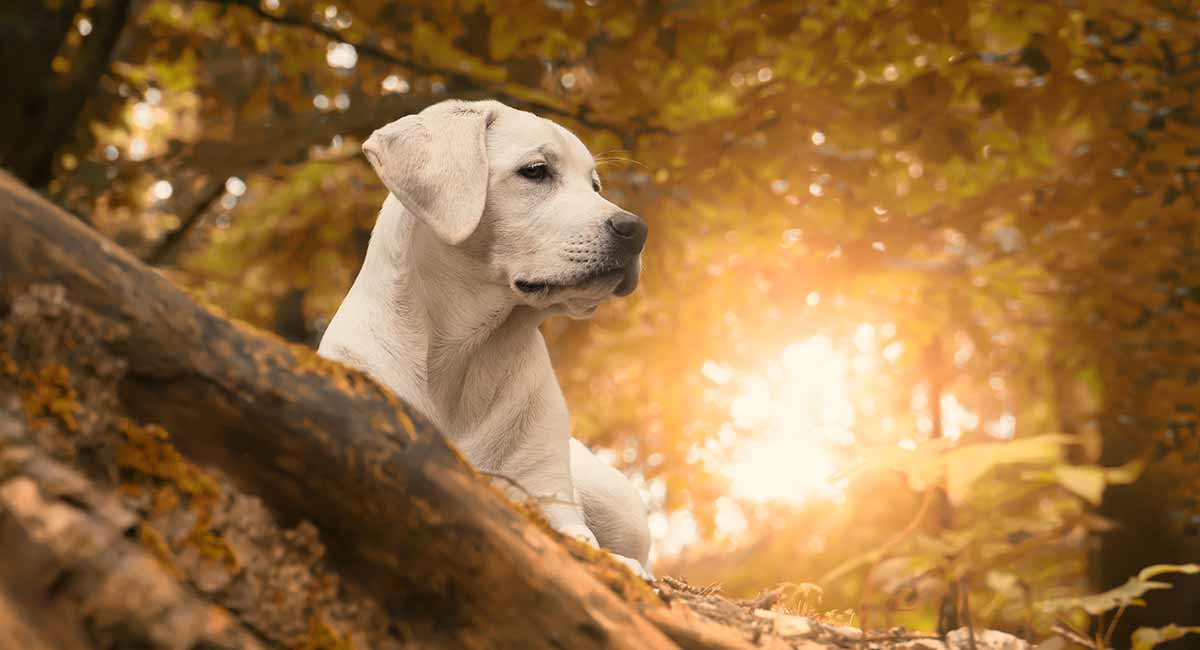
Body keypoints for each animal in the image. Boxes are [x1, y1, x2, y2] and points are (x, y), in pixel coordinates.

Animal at [319, 99, 652, 578]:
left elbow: (579, 535)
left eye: (595, 185)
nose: (637, 229)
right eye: (536, 171)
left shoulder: (545, 489)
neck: (467, 352)